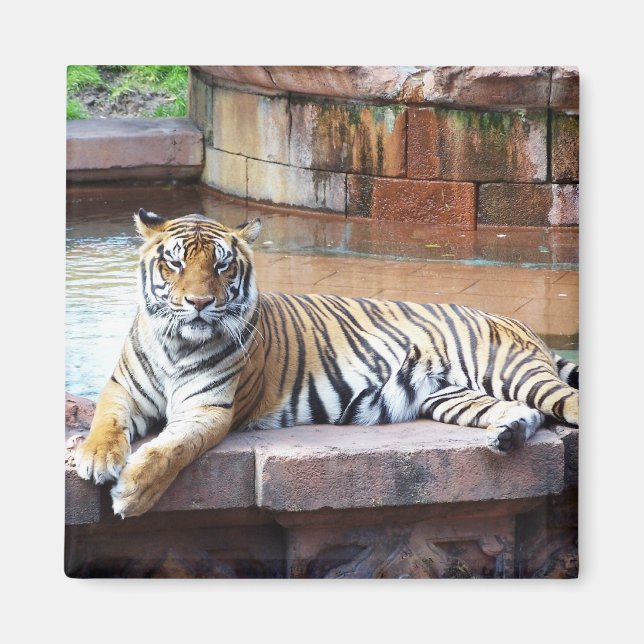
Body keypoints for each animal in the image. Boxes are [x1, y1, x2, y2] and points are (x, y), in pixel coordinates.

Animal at [74, 209, 579, 518]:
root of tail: (514, 319)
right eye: (174, 265)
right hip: (450, 396)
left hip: (513, 372)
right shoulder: (122, 389)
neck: (176, 344)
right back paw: (508, 436)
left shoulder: (210, 409)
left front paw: (133, 491)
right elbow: (105, 421)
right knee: (526, 412)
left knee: (565, 403)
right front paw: (96, 458)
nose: (199, 303)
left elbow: (172, 448)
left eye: (221, 266)